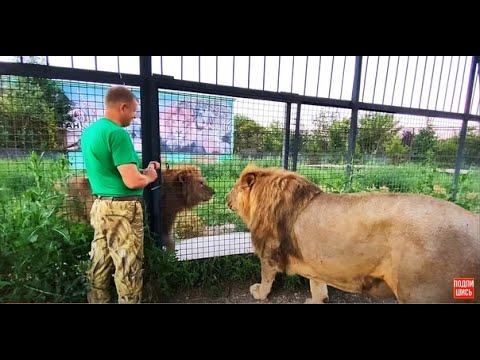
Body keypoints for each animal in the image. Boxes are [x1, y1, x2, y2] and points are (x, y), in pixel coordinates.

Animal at [226, 165, 480, 304]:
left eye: (234, 188)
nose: (225, 197)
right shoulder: (316, 262)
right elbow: (317, 286)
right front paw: (316, 300)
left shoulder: (268, 251)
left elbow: (266, 279)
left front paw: (258, 293)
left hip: (421, 292)